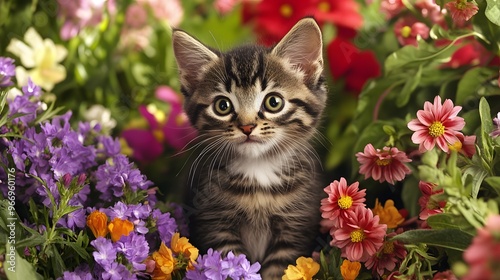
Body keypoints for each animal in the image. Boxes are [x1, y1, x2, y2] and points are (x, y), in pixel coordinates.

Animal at [173, 18, 328, 278]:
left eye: (274, 102)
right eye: (222, 106)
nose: (247, 126)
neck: (258, 169)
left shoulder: (295, 227)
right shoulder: (214, 223)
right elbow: (230, 263)